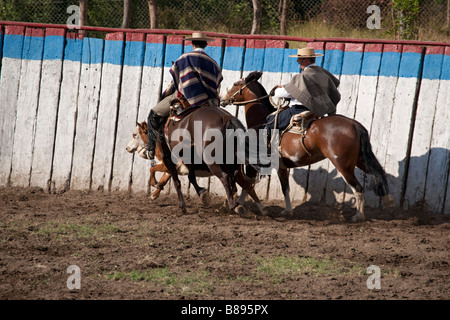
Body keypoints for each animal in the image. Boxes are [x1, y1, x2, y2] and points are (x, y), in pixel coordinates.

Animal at [222, 71, 394, 221]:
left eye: (236, 84)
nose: (223, 98)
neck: (262, 120)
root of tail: (353, 124)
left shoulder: (254, 162)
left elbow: (248, 184)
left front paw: (241, 205)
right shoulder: (281, 166)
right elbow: (285, 187)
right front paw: (287, 210)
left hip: (343, 165)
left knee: (358, 188)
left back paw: (358, 216)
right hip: (360, 160)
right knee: (379, 174)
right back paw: (388, 203)